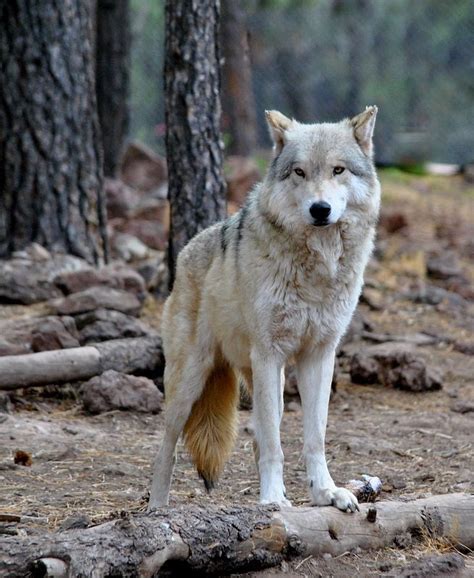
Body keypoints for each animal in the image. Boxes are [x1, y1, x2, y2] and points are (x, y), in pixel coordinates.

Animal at [150, 106, 380, 510]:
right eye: (299, 172)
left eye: (338, 170)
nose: (320, 209)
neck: (316, 267)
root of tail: (187, 248)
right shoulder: (269, 354)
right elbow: (275, 444)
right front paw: (272, 500)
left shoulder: (319, 356)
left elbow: (314, 438)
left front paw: (326, 493)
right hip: (190, 382)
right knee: (168, 450)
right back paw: (155, 509)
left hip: (265, 378)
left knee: (258, 435)